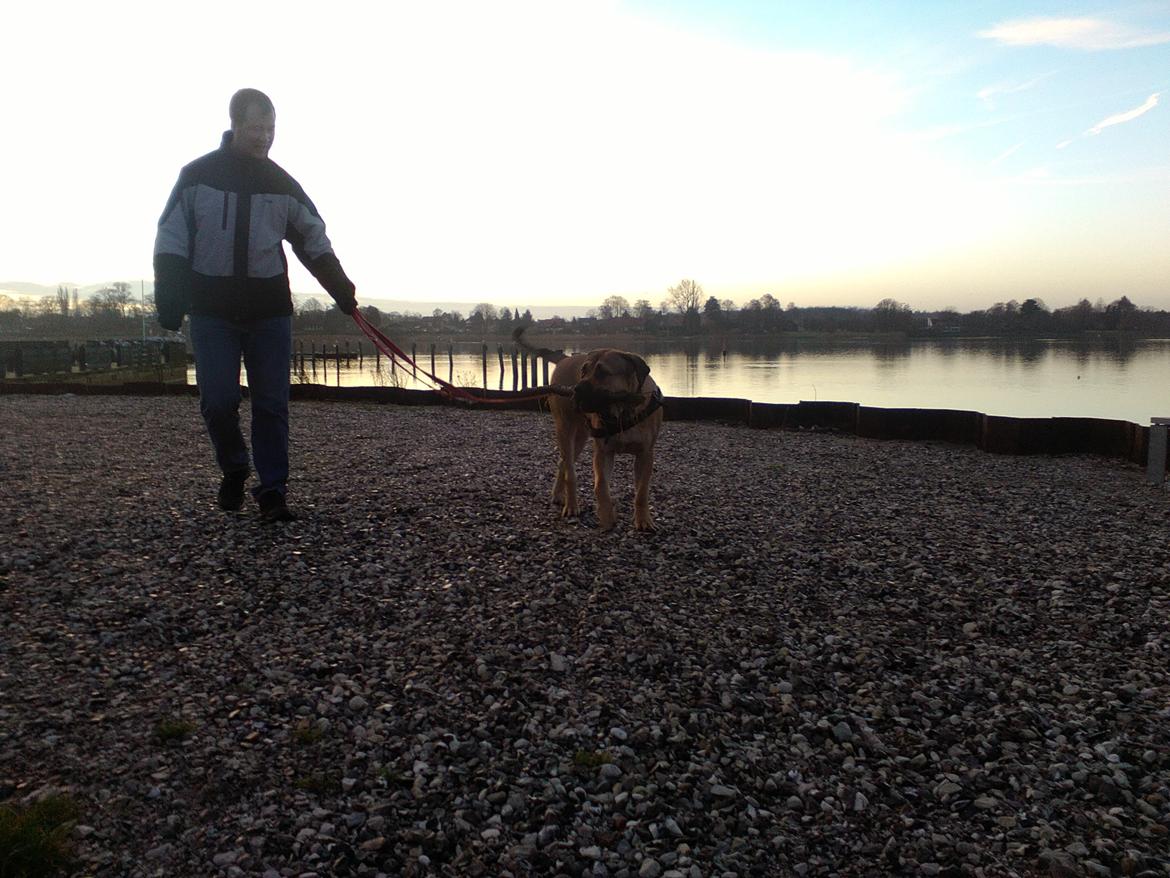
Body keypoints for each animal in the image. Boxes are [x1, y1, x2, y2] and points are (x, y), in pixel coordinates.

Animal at [514, 327, 664, 529]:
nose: (575, 389)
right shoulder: (602, 452)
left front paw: (643, 520)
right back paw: (571, 505)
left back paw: (558, 494)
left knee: (563, 463)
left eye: (602, 373)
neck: (621, 412)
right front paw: (606, 515)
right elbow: (600, 485)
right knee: (570, 470)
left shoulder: (645, 454)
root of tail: (565, 358)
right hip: (565, 429)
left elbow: (641, 491)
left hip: (581, 436)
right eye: (583, 371)